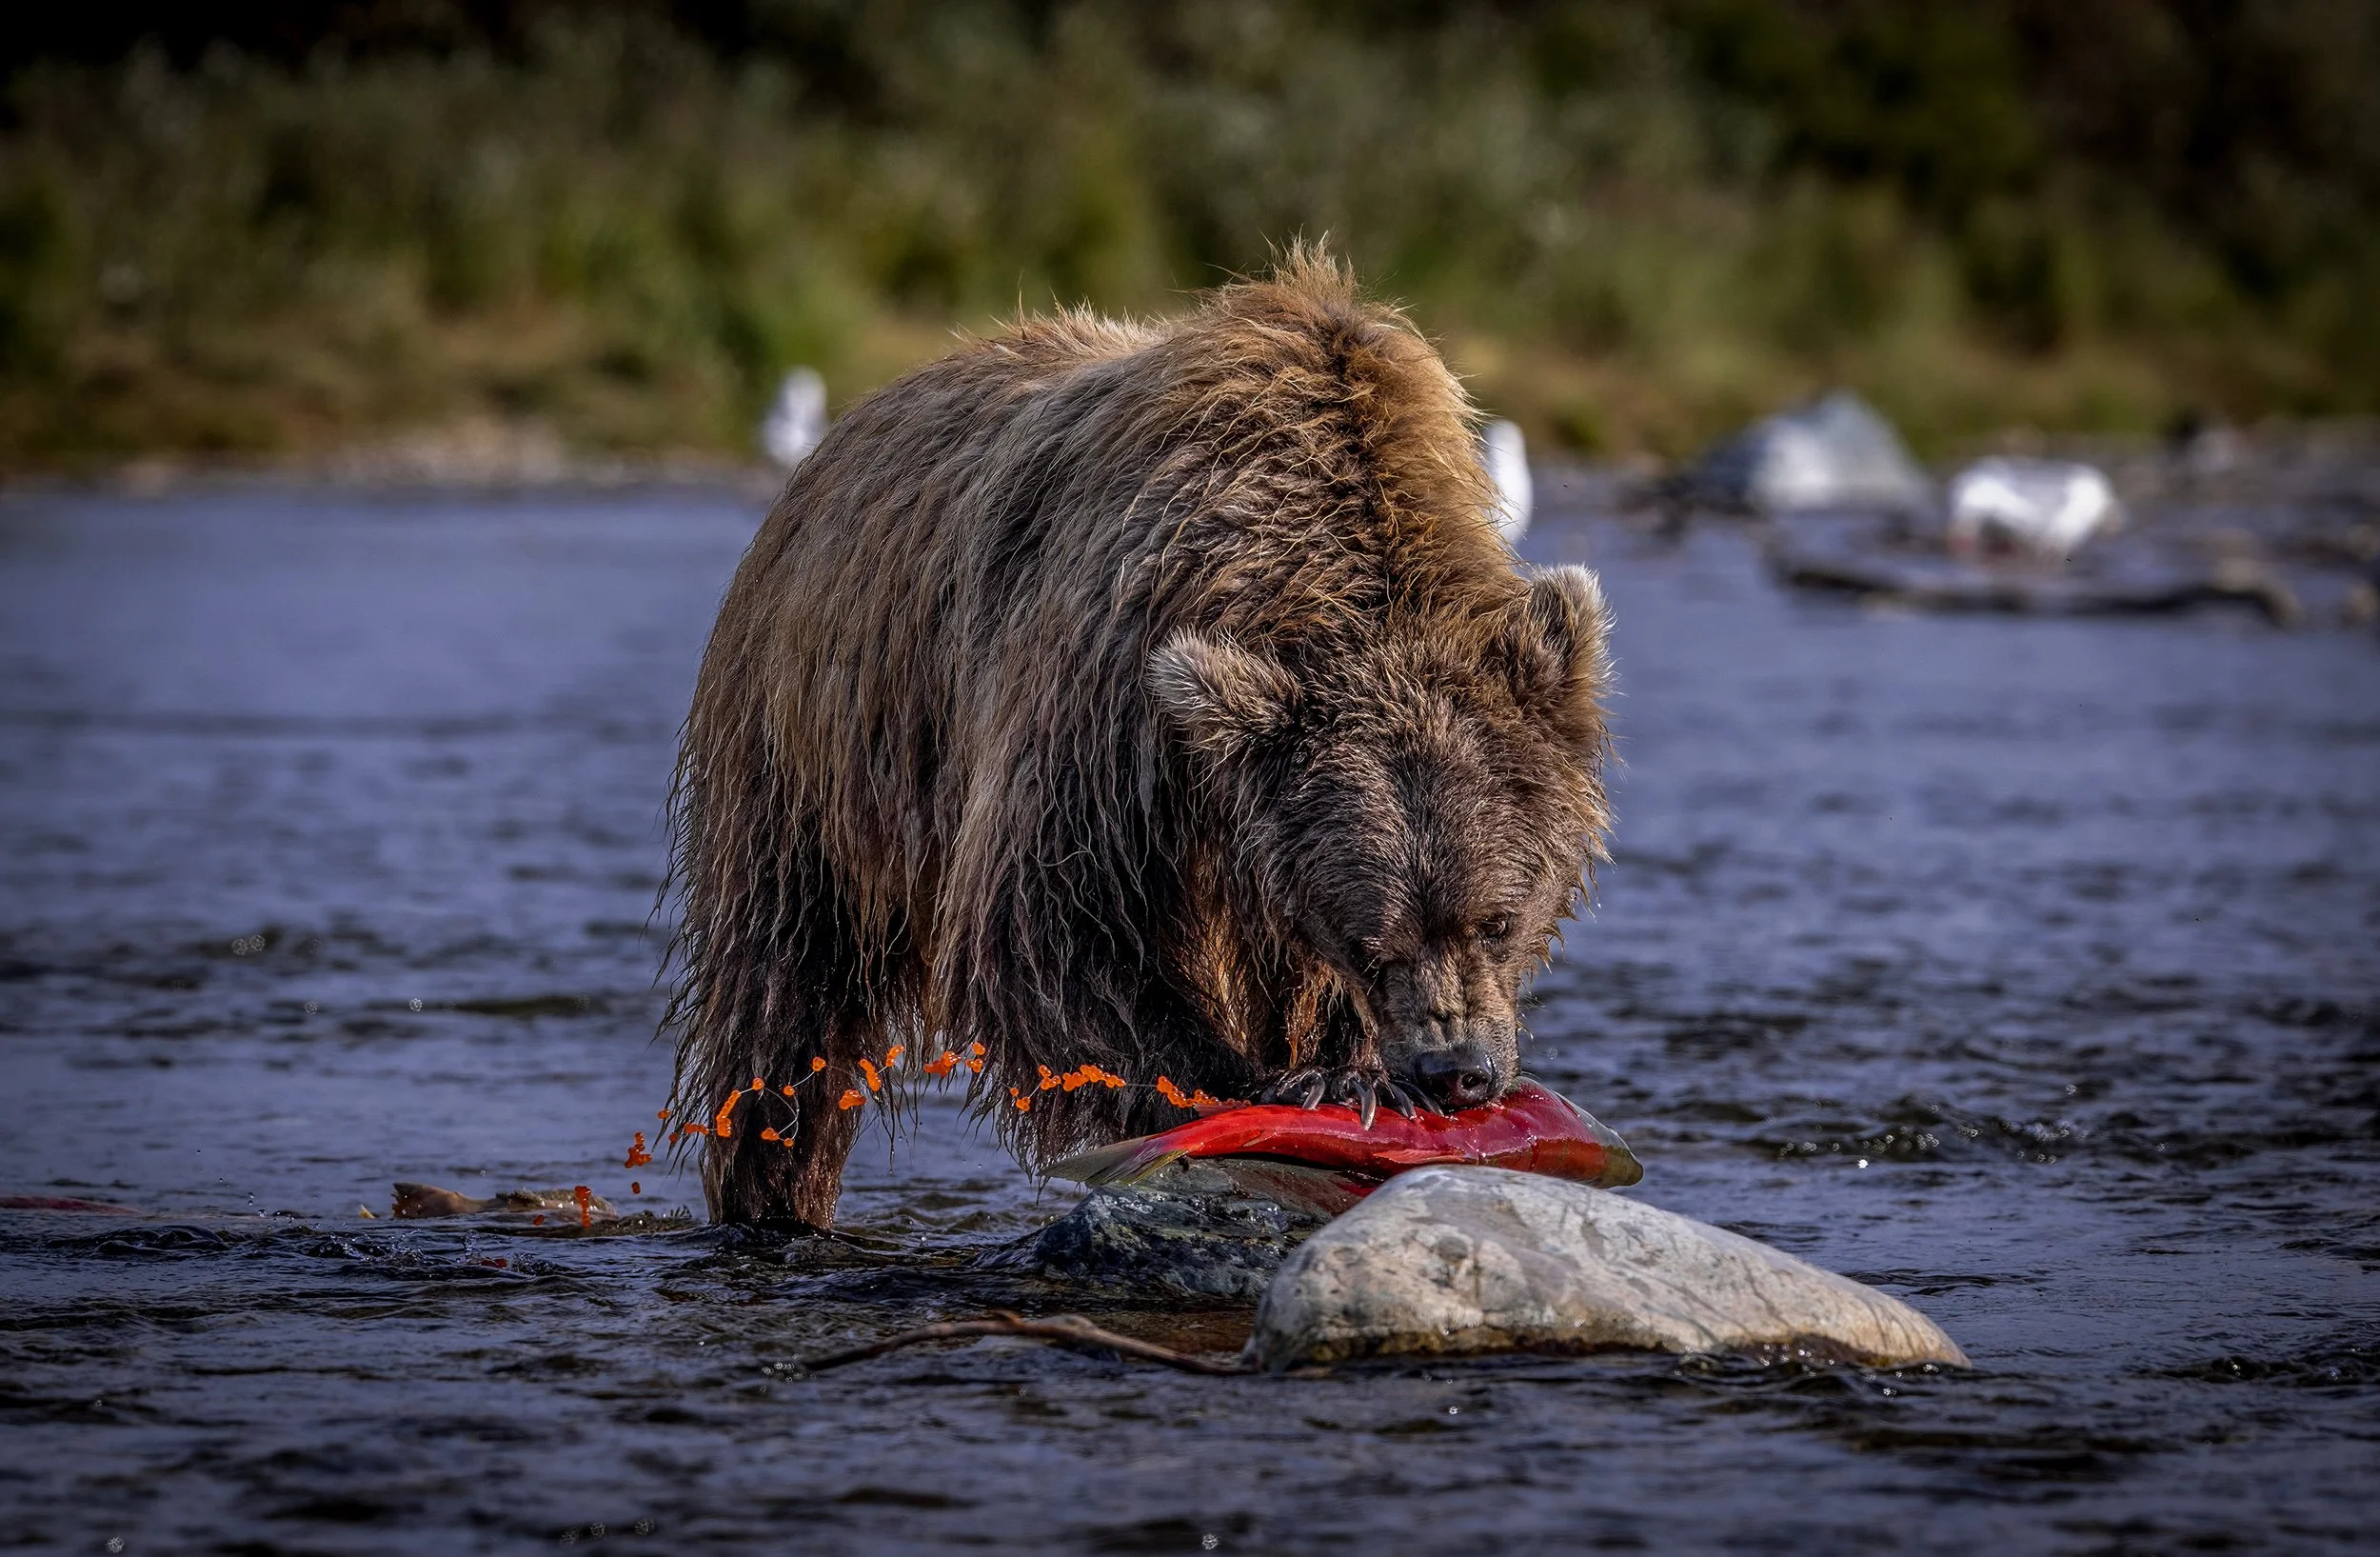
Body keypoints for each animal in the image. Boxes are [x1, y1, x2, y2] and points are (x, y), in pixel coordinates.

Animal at [663, 249, 1613, 1227]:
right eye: (1370, 942)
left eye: (1496, 918)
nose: (1456, 1070)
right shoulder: (1109, 694)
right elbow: (1050, 919)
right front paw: (1285, 1083)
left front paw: (1347, 1069)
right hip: (813, 737)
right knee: (786, 997)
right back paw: (771, 1189)